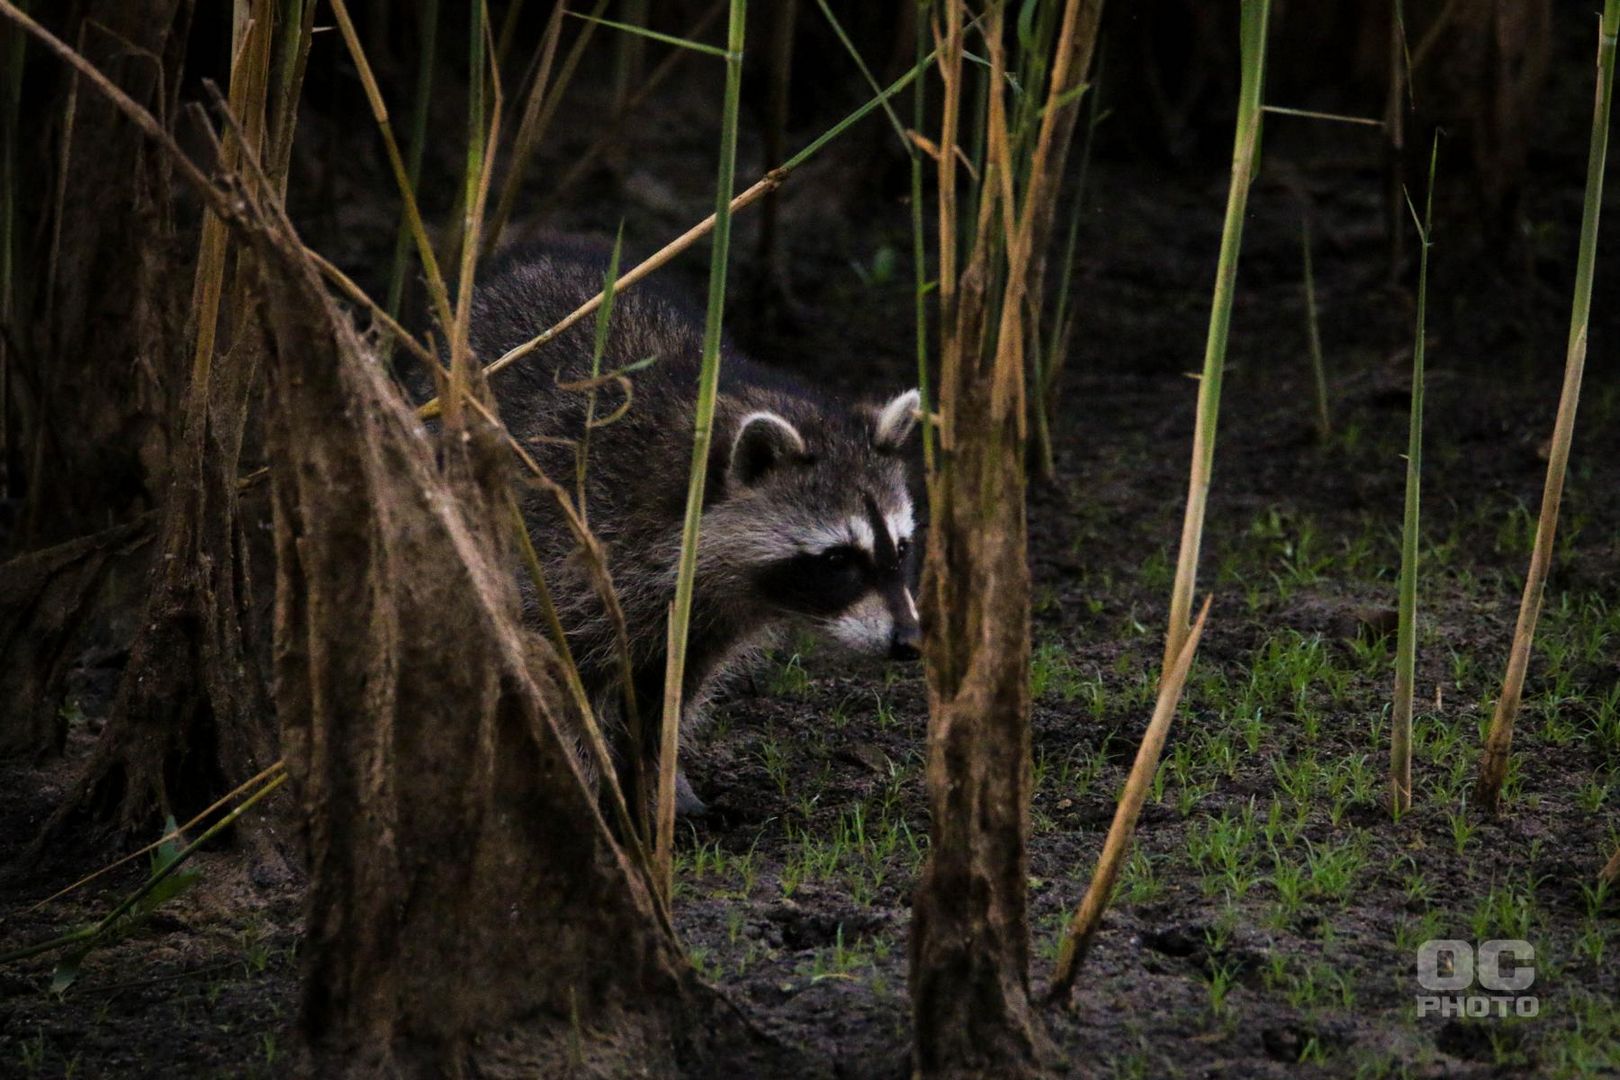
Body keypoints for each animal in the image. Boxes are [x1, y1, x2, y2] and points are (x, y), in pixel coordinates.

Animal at [469, 244, 926, 816]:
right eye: (838, 559)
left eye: (901, 549)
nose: (908, 641)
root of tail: (538, 262)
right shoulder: (572, 550)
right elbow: (566, 677)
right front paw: (587, 788)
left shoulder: (704, 623)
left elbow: (671, 695)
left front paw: (655, 781)